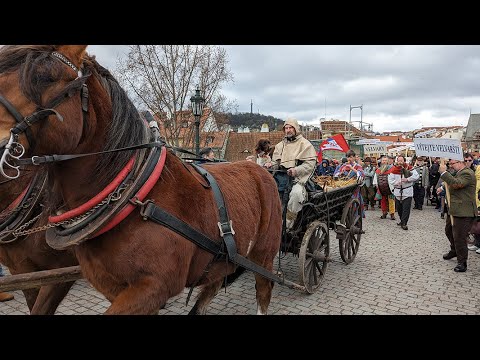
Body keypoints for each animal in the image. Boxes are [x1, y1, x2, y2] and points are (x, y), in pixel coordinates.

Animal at [0, 45, 282, 316]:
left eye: (45, 77)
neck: (133, 197)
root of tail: (262, 171)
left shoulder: (151, 288)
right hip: (225, 257)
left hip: (264, 255)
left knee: (264, 289)